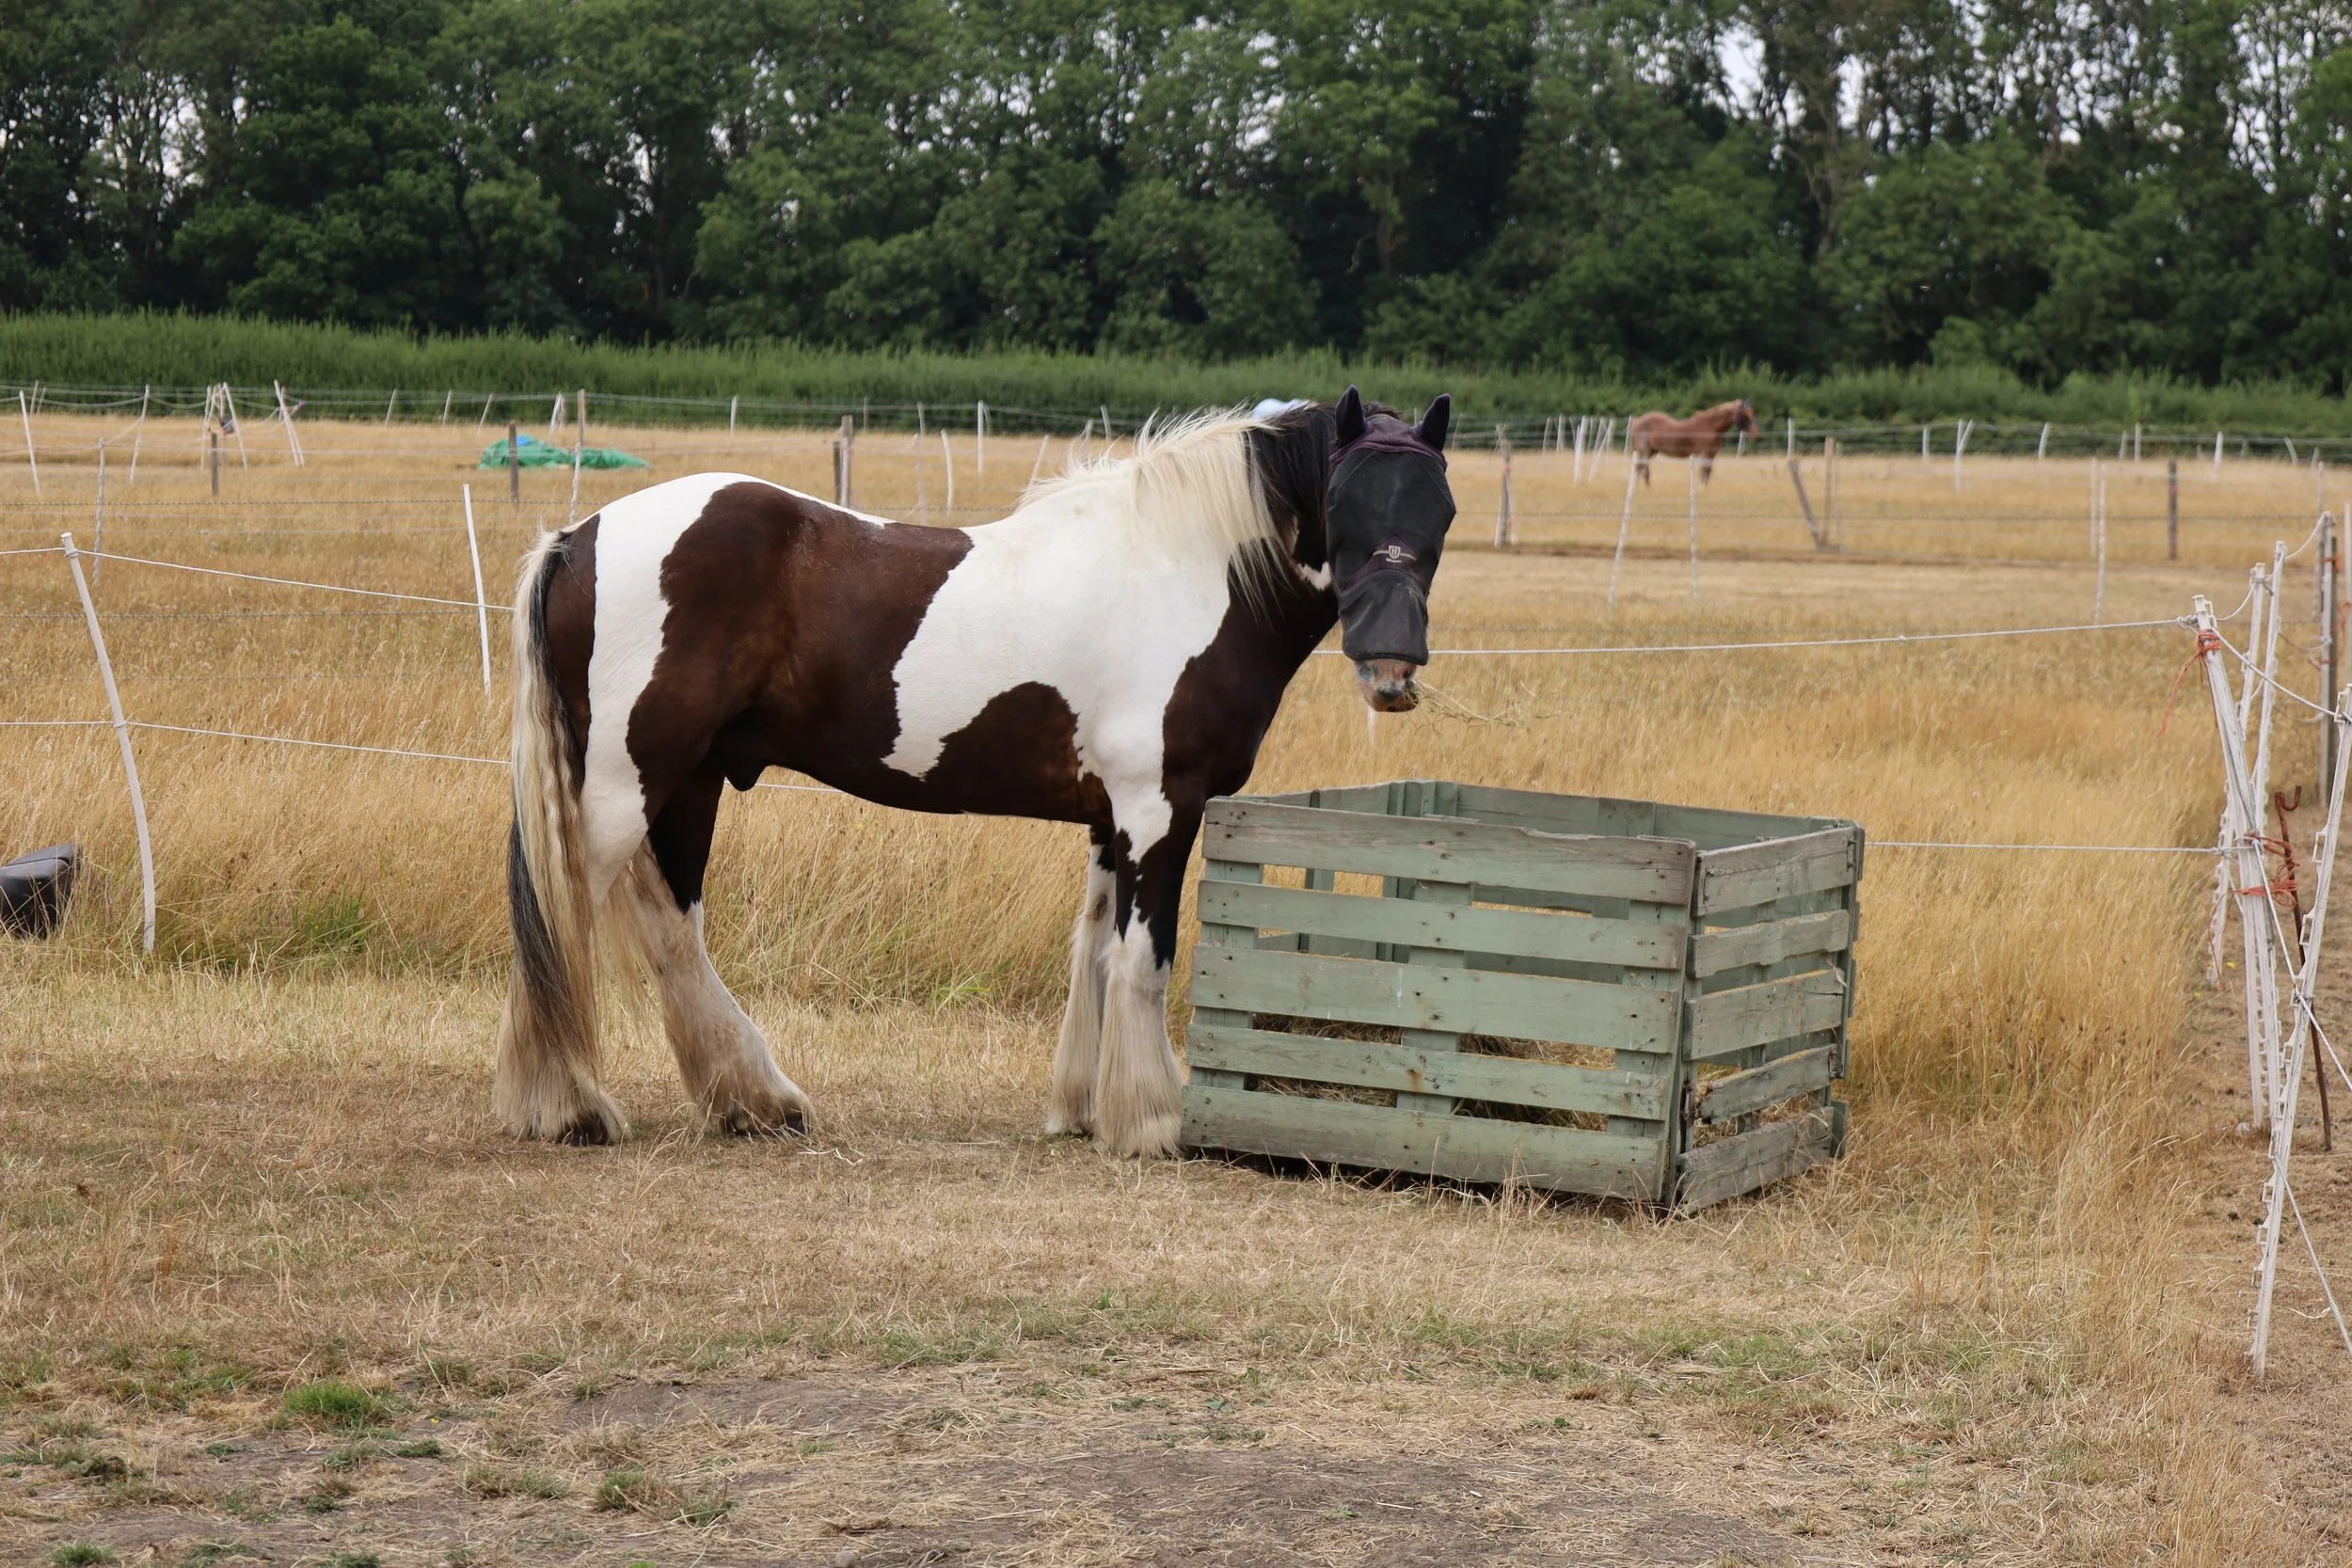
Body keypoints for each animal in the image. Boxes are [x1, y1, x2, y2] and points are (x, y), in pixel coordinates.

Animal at [494, 388, 1456, 1160]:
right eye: (1342, 500)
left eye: (1440, 510)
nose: (1392, 669)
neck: (1183, 570)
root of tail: (579, 537)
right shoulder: (1159, 809)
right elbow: (1144, 957)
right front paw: (1151, 1120)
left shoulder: (1109, 818)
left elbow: (1093, 952)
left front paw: (1082, 1111)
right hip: (622, 789)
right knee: (561, 921)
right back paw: (569, 1110)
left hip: (689, 782)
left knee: (671, 926)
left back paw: (753, 1103)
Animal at [1627, 399, 1757, 486]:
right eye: (1744, 414)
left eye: (1751, 412)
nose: (1755, 434)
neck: (1711, 426)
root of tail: (1637, 421)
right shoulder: (1705, 454)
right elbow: (1704, 473)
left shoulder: (1711, 454)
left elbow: (1708, 473)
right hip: (1644, 451)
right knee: (1641, 469)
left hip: (1651, 451)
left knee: (1643, 471)